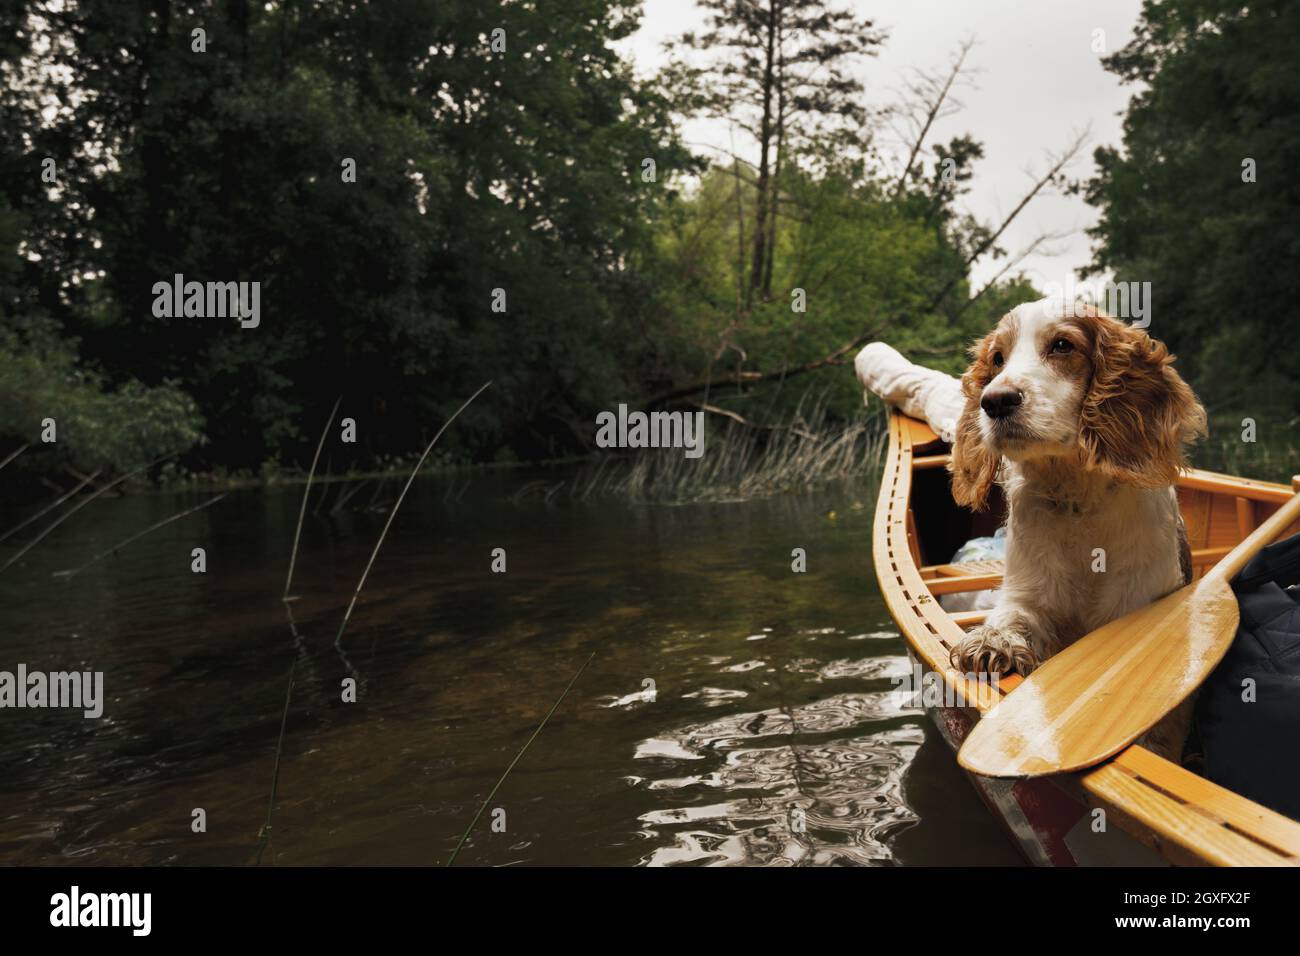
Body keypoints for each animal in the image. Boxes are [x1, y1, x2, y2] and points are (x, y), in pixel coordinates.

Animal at [946, 300, 1206, 764]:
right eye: (997, 358)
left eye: (1063, 345)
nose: (995, 401)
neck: (1077, 503)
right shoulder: (1029, 595)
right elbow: (1012, 616)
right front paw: (992, 640)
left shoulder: (1141, 606)